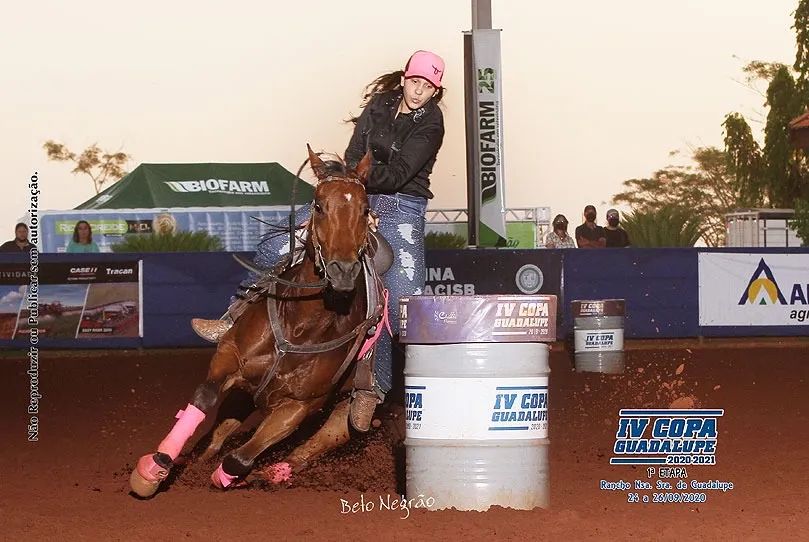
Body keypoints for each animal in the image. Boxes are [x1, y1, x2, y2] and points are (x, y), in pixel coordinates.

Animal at [130, 146, 389, 498]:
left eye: (365, 210)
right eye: (319, 206)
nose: (343, 271)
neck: (301, 326)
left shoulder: (299, 406)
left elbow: (241, 457)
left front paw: (231, 477)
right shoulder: (230, 359)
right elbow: (204, 398)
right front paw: (153, 469)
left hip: (345, 407)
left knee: (321, 440)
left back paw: (273, 473)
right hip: (245, 391)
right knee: (219, 433)